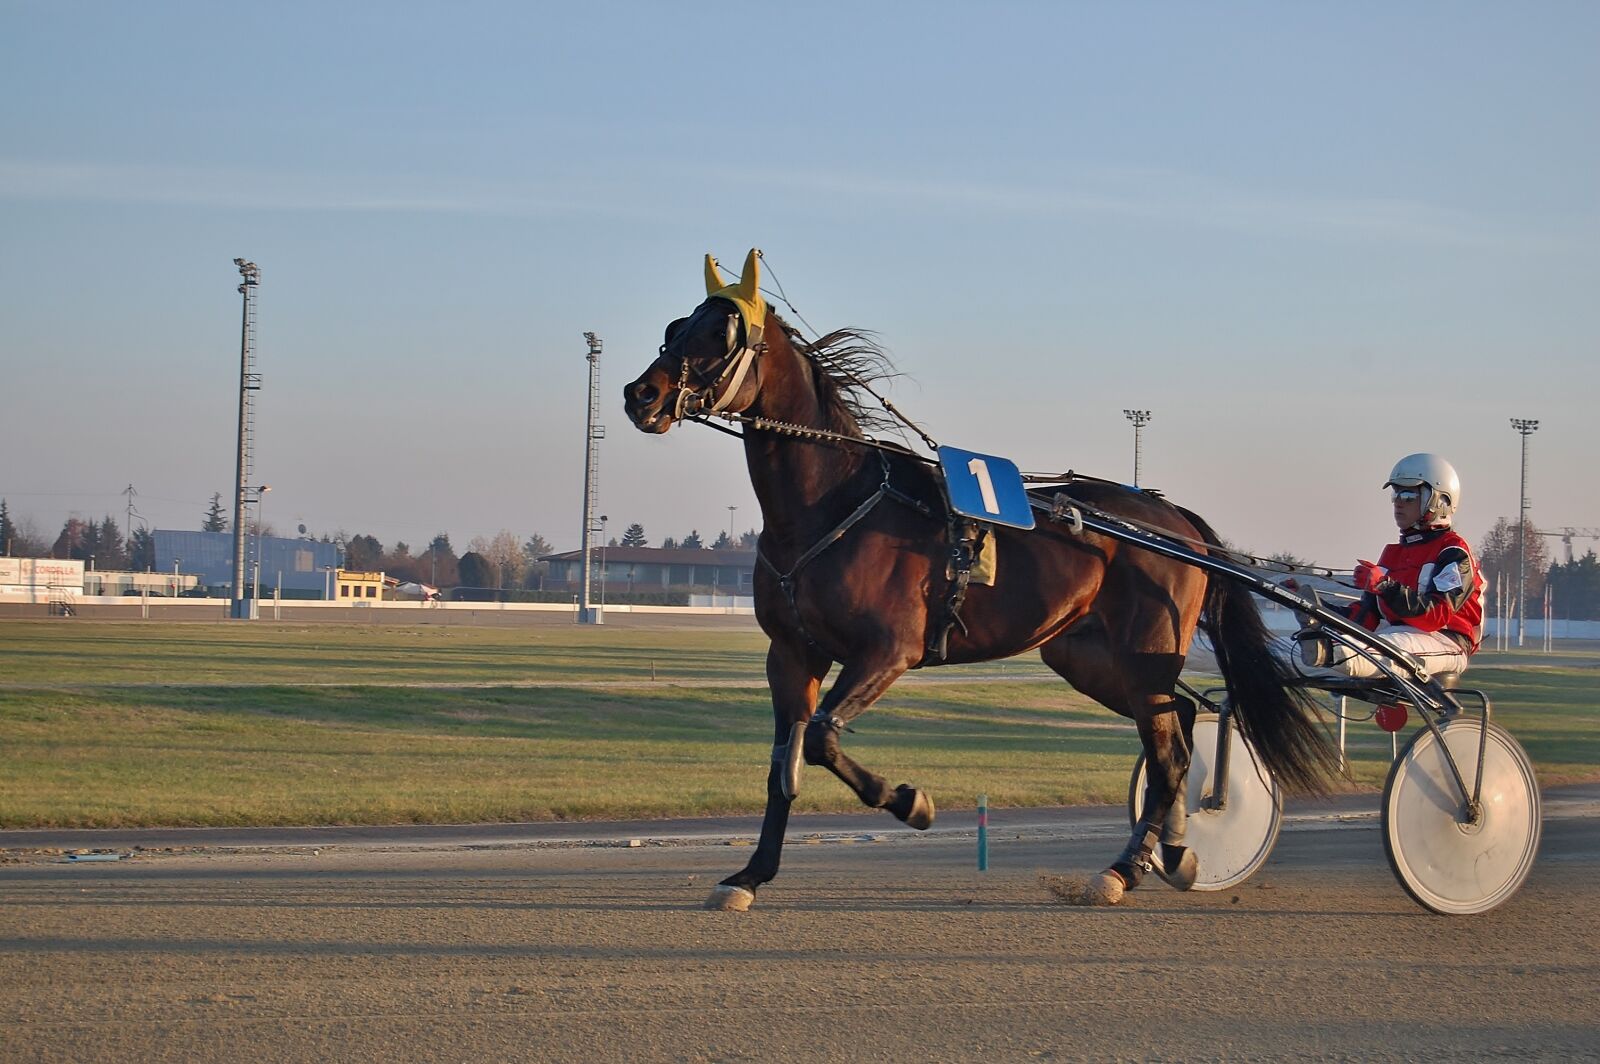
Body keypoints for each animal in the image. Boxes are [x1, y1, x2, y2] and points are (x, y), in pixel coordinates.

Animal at [624, 250, 1338, 910]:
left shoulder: (889, 650)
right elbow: (785, 764)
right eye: (676, 325)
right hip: (1086, 655)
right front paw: (749, 876)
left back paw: (1126, 869)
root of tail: (1175, 518)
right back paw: (1172, 851)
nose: (641, 395)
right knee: (1180, 723)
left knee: (1168, 755)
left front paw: (910, 801)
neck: (830, 505)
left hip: (1146, 650)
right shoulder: (792, 654)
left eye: (722, 333)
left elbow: (822, 738)